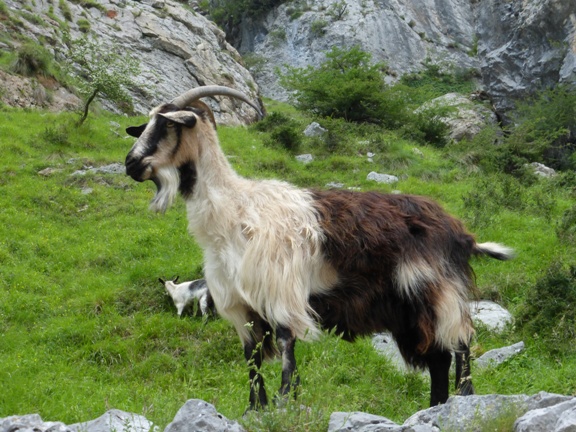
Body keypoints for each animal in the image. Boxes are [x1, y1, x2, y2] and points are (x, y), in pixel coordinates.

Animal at [125, 84, 512, 408]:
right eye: (145, 124)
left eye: (167, 125)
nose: (130, 163)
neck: (236, 213)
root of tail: (460, 231)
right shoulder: (239, 305)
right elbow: (251, 357)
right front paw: (255, 408)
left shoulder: (281, 291)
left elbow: (285, 344)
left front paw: (285, 401)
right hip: (409, 309)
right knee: (438, 356)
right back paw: (435, 406)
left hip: (438, 289)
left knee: (460, 343)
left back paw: (463, 399)